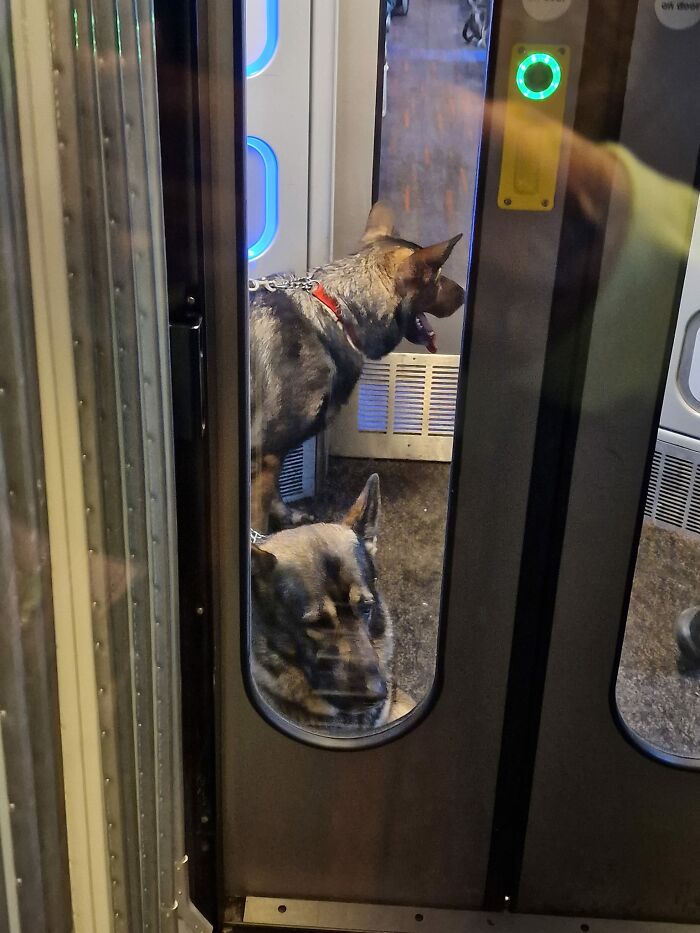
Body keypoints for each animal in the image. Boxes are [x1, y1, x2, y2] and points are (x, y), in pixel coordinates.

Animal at [249, 199, 462, 528]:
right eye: (436, 276)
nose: (464, 295)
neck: (334, 309)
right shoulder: (266, 454)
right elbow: (258, 518)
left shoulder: (271, 456)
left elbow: (275, 493)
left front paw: (285, 516)